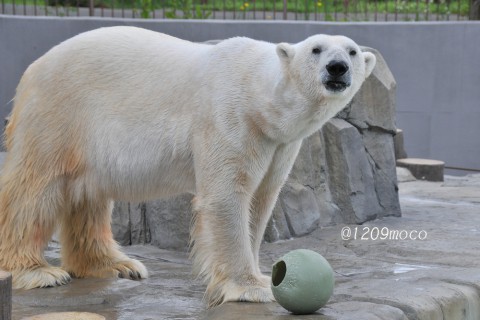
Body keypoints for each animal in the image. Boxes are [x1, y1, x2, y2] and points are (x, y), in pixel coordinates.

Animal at [0, 27, 376, 308]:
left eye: (352, 52)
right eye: (316, 49)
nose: (337, 67)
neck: (260, 95)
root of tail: (33, 68)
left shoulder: (279, 144)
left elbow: (261, 200)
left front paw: (264, 274)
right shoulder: (229, 117)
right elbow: (227, 196)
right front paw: (252, 287)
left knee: (87, 194)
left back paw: (116, 264)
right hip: (61, 112)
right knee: (36, 187)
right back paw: (36, 272)